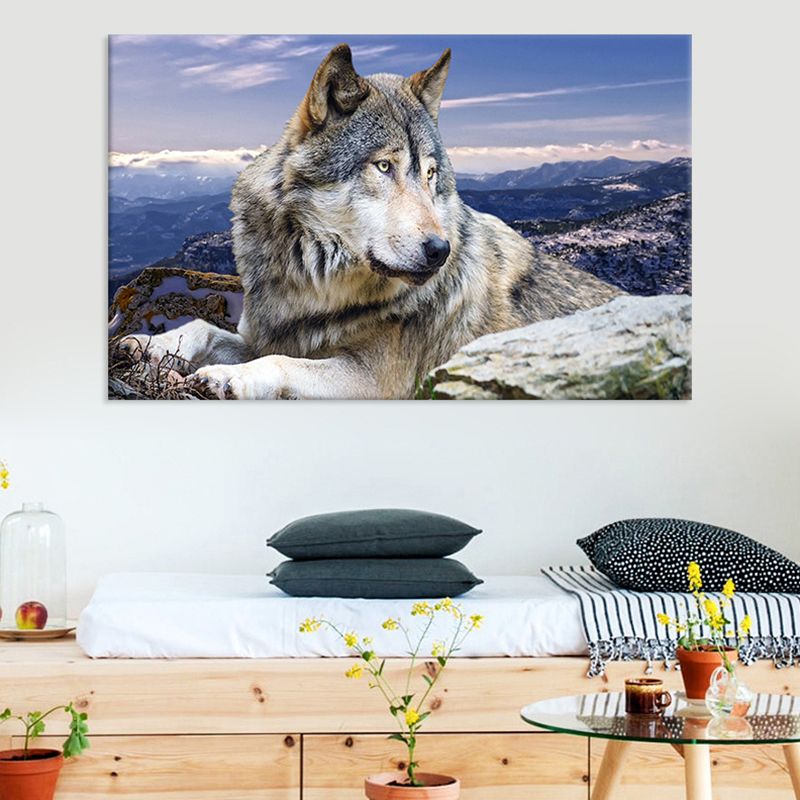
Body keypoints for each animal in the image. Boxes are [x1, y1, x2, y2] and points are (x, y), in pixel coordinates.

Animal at [120, 44, 620, 399]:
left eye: (430, 174)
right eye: (384, 167)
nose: (440, 251)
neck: (314, 286)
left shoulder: (375, 381)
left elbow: (280, 364)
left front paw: (229, 378)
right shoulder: (270, 335)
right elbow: (202, 327)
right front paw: (149, 344)